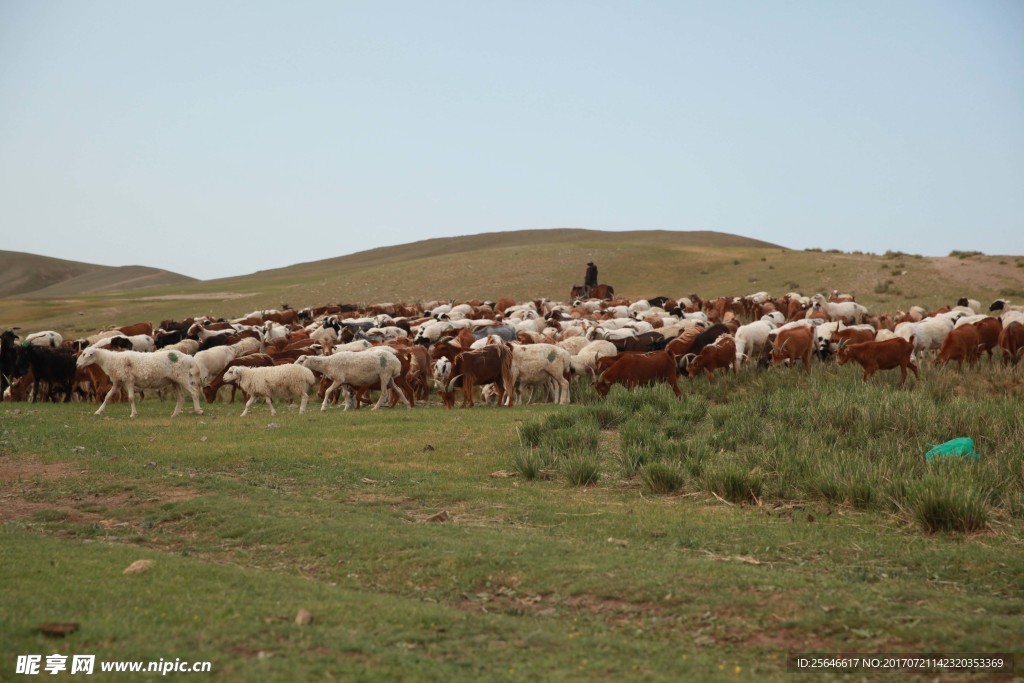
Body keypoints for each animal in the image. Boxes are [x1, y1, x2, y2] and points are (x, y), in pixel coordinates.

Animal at [75, 348, 203, 417]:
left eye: (84, 354)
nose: (77, 364)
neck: (110, 360)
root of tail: (188, 357)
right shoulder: (118, 382)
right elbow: (107, 396)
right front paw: (99, 411)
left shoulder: (129, 380)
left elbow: (131, 398)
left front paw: (133, 414)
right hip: (175, 380)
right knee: (181, 397)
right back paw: (175, 414)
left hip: (182, 377)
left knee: (194, 392)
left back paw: (198, 410)